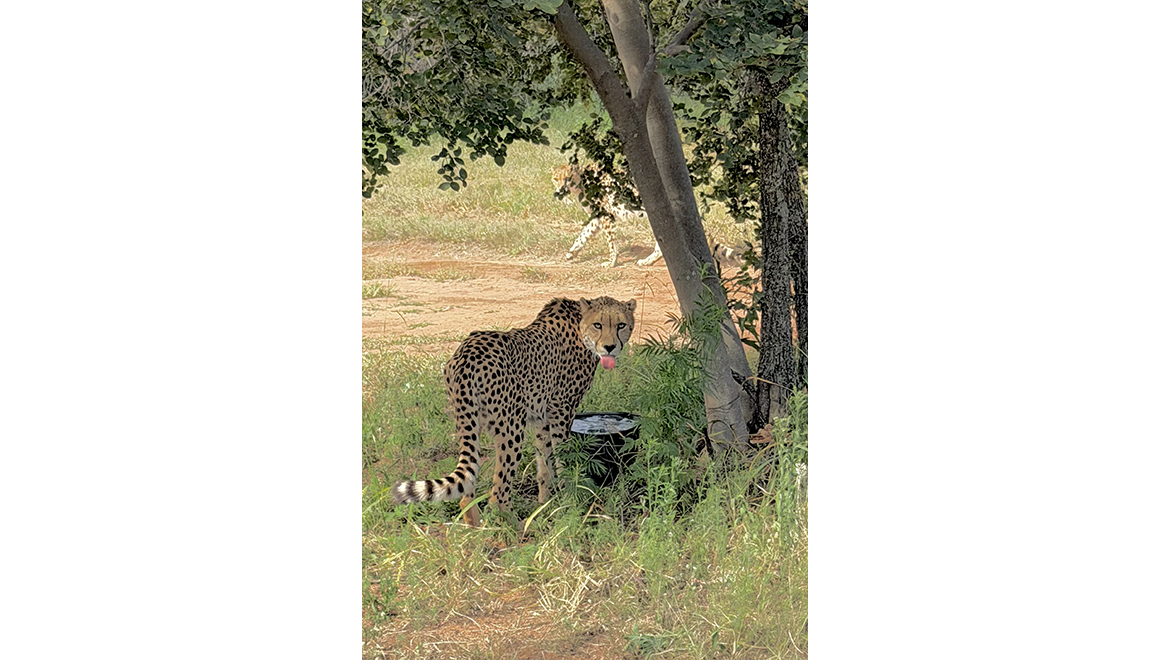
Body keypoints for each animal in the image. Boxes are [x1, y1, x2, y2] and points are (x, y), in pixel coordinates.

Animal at [392, 296, 637, 526]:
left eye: (621, 325)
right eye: (598, 325)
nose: (609, 347)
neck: (580, 325)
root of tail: (467, 352)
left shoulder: (542, 418)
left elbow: (544, 464)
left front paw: (545, 505)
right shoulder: (561, 410)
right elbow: (562, 457)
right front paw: (568, 499)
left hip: (469, 424)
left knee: (467, 489)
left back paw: (478, 533)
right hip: (511, 429)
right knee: (497, 494)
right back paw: (518, 529)